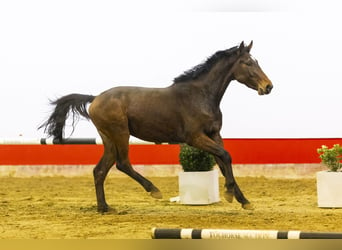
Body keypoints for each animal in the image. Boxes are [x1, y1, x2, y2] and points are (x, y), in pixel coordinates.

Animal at [39, 41, 272, 213]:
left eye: (256, 61)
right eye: (247, 63)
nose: (268, 86)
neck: (201, 96)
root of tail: (95, 98)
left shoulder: (214, 135)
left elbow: (224, 163)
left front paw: (244, 201)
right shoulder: (195, 137)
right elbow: (225, 156)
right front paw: (230, 194)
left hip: (108, 138)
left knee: (100, 170)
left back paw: (104, 208)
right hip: (120, 134)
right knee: (122, 163)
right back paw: (154, 190)